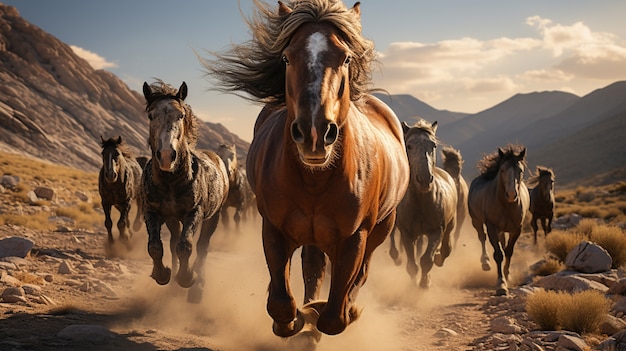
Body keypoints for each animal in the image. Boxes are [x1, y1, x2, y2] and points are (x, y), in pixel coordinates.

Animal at [141, 81, 229, 304]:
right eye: (151, 116)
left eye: (180, 115)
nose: (166, 156)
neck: (171, 182)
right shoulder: (151, 212)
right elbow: (155, 246)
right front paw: (163, 274)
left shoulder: (194, 213)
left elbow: (186, 246)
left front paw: (187, 277)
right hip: (173, 220)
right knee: (173, 242)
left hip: (212, 218)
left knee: (202, 247)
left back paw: (197, 289)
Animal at [201, 0, 410, 340]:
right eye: (286, 57)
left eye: (346, 57)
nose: (315, 133)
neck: (316, 180)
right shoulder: (273, 228)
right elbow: (282, 301)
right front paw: (295, 319)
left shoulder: (354, 239)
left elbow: (334, 316)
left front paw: (326, 313)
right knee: (312, 268)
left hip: (382, 227)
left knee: (359, 275)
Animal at [388, 120, 456, 288]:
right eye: (409, 146)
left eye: (433, 145)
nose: (424, 179)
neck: (420, 204)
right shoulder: (407, 234)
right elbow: (412, 265)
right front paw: (414, 286)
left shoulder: (436, 231)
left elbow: (426, 260)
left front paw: (425, 284)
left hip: (450, 224)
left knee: (446, 248)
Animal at [468, 144, 528, 296]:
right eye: (502, 170)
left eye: (520, 170)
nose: (512, 194)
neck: (506, 205)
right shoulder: (492, 227)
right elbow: (499, 254)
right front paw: (501, 285)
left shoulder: (517, 229)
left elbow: (509, 251)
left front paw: (507, 275)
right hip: (476, 221)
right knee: (482, 237)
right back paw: (485, 263)